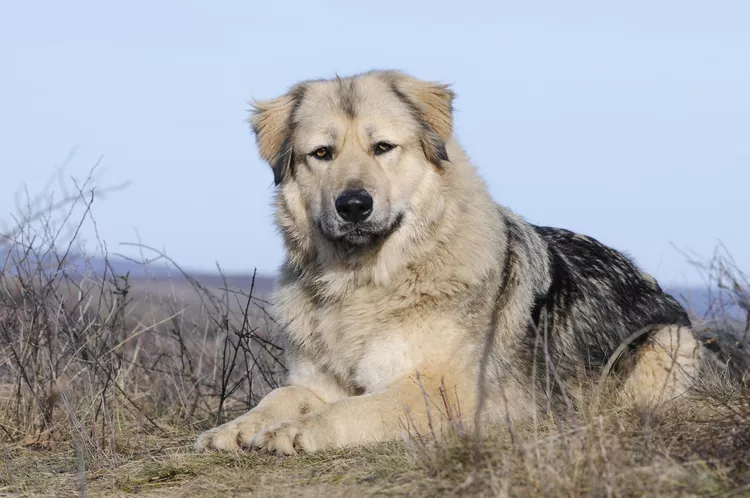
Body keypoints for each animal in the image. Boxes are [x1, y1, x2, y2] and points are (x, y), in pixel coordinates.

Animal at [194, 69, 704, 456]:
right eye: (322, 154)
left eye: (383, 147)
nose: (354, 205)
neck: (363, 285)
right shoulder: (316, 381)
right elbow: (283, 394)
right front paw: (236, 426)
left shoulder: (443, 393)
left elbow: (353, 408)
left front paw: (297, 430)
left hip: (673, 343)